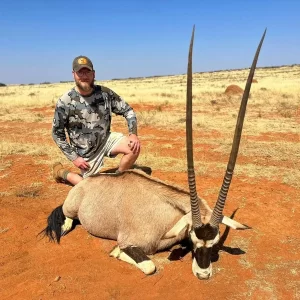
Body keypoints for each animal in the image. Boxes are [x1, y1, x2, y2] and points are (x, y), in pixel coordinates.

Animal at [41, 27, 266, 280]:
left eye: (214, 241)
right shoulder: (131, 242)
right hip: (72, 206)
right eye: (193, 237)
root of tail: (86, 182)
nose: (203, 274)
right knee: (69, 217)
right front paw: (117, 253)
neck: (169, 214)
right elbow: (149, 265)